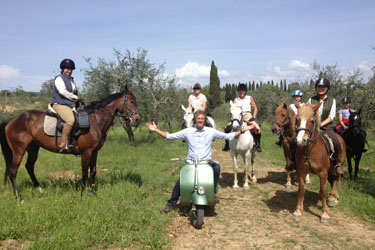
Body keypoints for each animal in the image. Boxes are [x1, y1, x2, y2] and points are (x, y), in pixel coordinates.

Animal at [0, 86, 140, 201]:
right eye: (132, 102)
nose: (137, 120)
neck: (95, 121)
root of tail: (11, 120)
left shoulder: (94, 152)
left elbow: (93, 171)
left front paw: (92, 192)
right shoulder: (86, 152)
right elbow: (84, 172)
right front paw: (83, 193)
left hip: (33, 148)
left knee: (29, 167)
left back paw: (39, 189)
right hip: (19, 150)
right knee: (13, 172)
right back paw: (19, 198)